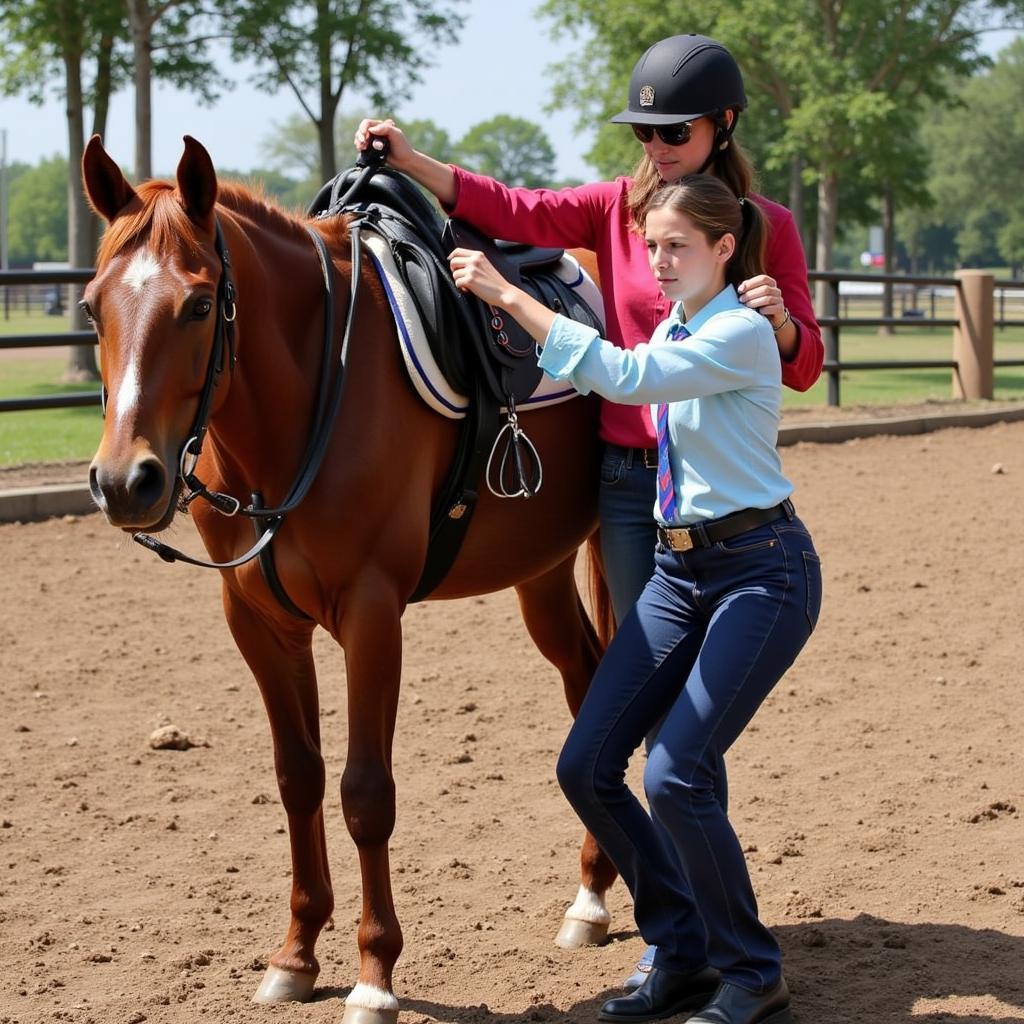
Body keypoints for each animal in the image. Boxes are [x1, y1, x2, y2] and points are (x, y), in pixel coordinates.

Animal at [79, 138, 614, 1024]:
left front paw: (374, 975)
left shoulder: (372, 611)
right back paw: (594, 894)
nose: (127, 482)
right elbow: (298, 777)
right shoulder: (258, 619)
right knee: (589, 682)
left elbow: (366, 792)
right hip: (539, 570)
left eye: (199, 305)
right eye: (91, 308)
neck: (301, 406)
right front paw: (295, 955)